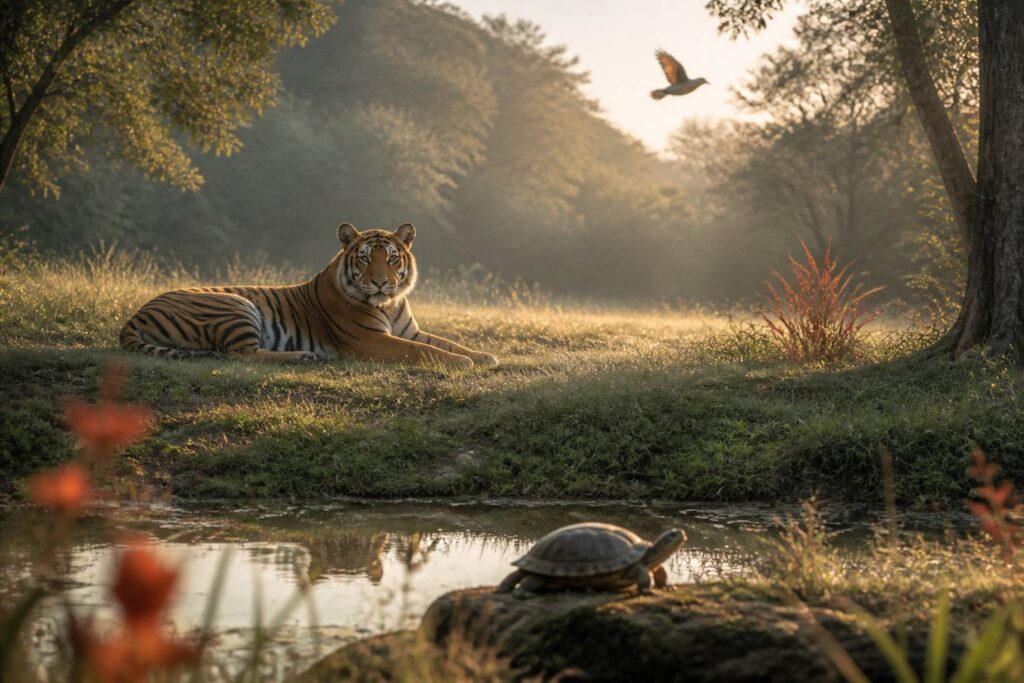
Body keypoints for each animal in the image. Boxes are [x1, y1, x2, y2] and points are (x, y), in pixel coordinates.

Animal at [119, 222, 498, 369]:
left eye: (391, 259)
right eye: (365, 258)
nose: (380, 283)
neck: (390, 304)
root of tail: (136, 314)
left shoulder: (410, 331)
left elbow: (447, 342)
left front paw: (484, 356)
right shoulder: (371, 340)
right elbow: (424, 352)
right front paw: (463, 363)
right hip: (236, 305)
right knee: (239, 354)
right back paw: (302, 356)